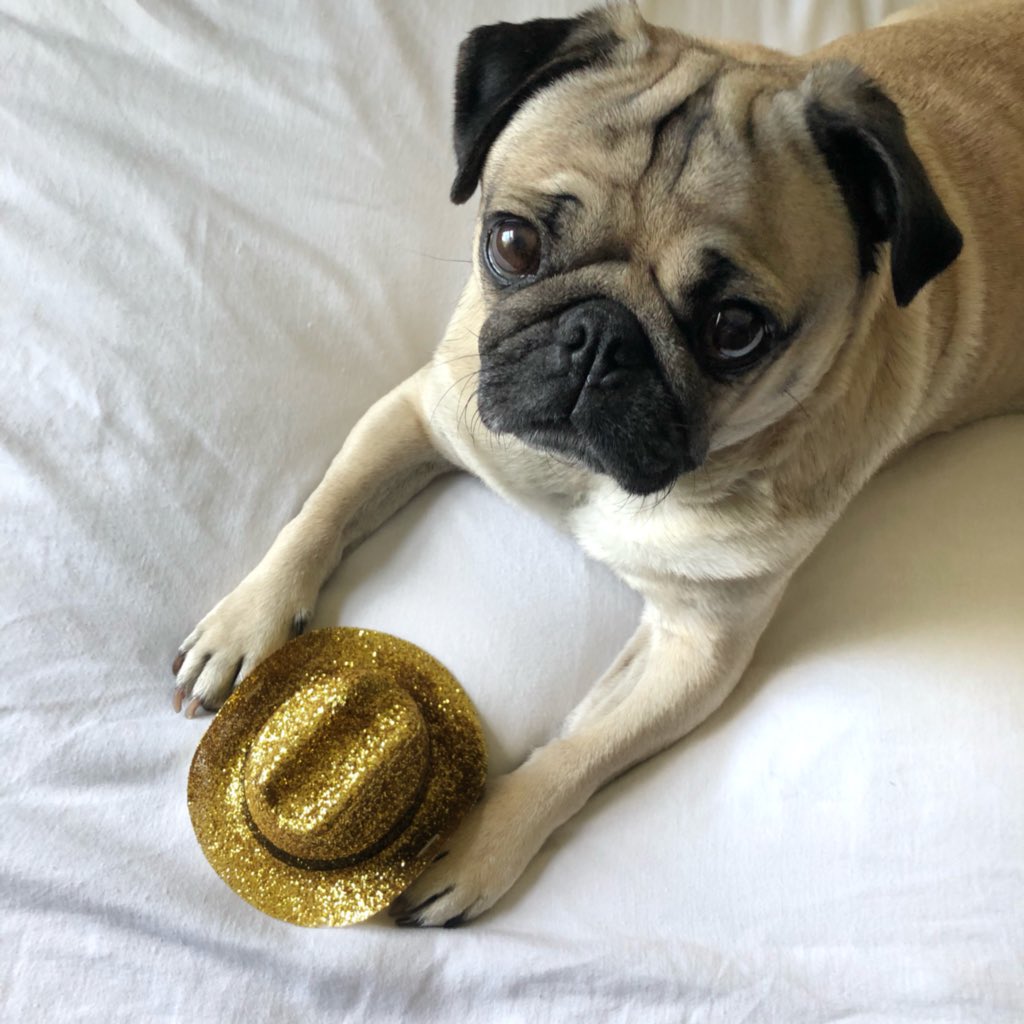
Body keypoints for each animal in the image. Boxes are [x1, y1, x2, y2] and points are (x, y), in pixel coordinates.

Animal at [172, 0, 1024, 925]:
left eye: (736, 331)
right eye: (511, 242)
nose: (599, 337)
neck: (588, 479)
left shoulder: (695, 652)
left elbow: (576, 752)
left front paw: (478, 845)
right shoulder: (423, 413)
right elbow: (318, 516)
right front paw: (248, 623)